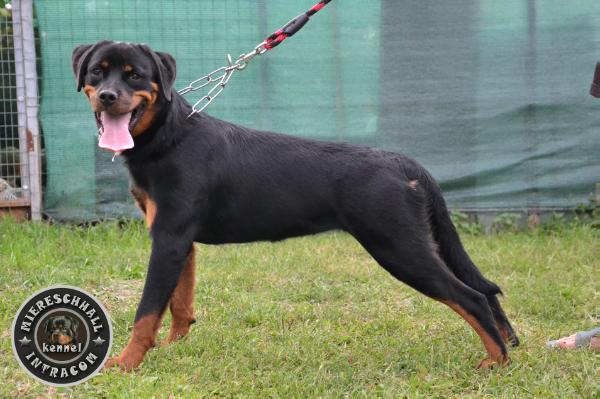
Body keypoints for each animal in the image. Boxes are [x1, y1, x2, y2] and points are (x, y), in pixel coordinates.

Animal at [72, 40, 516, 372]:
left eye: (135, 75)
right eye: (97, 72)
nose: (109, 95)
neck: (169, 137)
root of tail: (405, 163)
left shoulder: (169, 239)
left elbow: (147, 310)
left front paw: (126, 363)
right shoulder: (179, 241)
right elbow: (180, 303)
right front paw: (174, 348)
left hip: (399, 247)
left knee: (471, 297)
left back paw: (495, 362)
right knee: (482, 291)